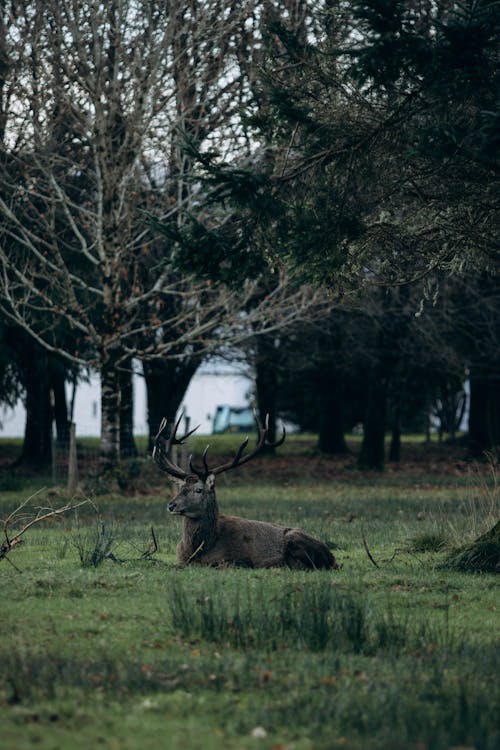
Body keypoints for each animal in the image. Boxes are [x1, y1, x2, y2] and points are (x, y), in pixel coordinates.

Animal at [152, 418, 338, 568]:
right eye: (181, 488)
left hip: (295, 540)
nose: (171, 505)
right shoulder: (181, 558)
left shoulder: (240, 559)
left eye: (198, 490)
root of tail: (333, 558)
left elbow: (224, 564)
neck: (198, 550)